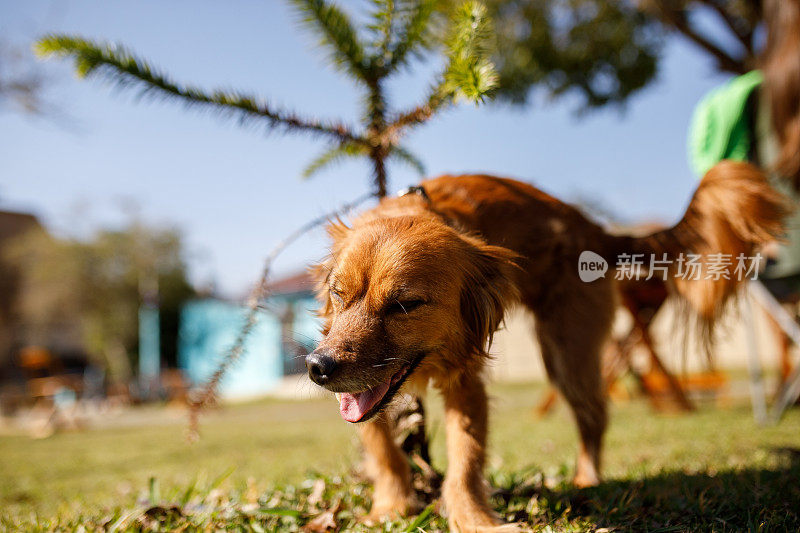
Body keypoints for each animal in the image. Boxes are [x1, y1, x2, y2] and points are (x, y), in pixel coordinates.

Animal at [306, 160, 788, 528]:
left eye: (405, 305)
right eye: (337, 294)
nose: (317, 367)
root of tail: (596, 229)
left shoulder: (465, 381)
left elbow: (465, 464)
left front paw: (474, 520)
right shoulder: (365, 395)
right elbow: (383, 449)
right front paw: (390, 508)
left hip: (566, 353)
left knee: (594, 416)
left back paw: (588, 482)